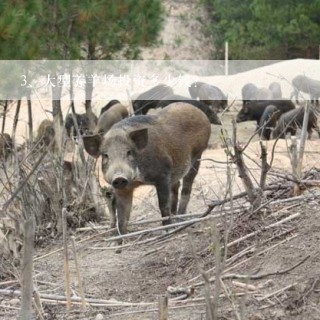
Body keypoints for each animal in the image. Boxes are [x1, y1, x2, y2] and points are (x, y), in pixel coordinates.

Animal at [84, 102, 211, 238]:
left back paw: (180, 219)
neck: (138, 180)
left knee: (187, 187)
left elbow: (163, 205)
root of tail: (199, 112)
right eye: (105, 155)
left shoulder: (163, 175)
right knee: (176, 187)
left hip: (198, 154)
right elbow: (122, 214)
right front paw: (119, 239)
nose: (119, 177)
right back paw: (175, 216)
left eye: (129, 152)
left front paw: (167, 231)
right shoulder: (122, 188)